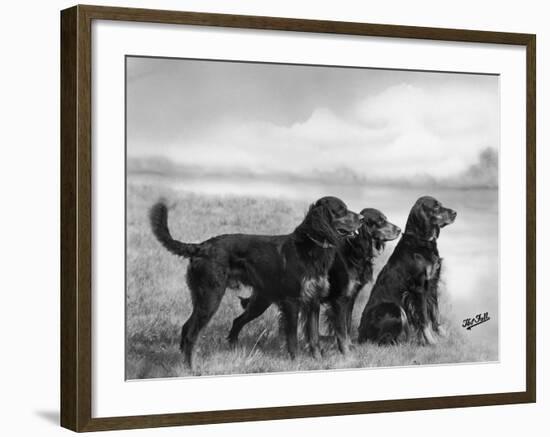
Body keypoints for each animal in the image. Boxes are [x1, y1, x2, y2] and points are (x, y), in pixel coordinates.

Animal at [150, 196, 362, 366]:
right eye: (341, 210)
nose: (361, 219)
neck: (310, 247)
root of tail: (201, 247)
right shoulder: (292, 302)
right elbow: (293, 338)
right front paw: (296, 362)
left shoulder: (313, 301)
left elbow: (314, 336)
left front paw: (318, 361)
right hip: (210, 297)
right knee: (192, 332)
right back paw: (190, 367)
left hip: (254, 301)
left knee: (209, 325)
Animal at [232, 206, 402, 352]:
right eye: (380, 221)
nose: (400, 230)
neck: (353, 250)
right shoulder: (339, 300)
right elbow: (342, 328)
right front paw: (345, 351)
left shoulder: (350, 297)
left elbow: (346, 325)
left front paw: (348, 347)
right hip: (263, 300)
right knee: (240, 320)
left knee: (240, 320)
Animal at [358, 197, 458, 344]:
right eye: (436, 207)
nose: (455, 213)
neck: (421, 241)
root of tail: (361, 335)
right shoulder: (419, 288)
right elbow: (424, 319)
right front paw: (431, 342)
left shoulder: (433, 283)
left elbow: (435, 313)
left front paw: (443, 335)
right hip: (395, 307)